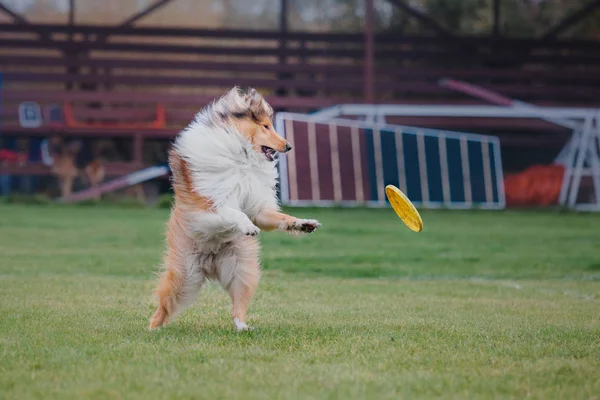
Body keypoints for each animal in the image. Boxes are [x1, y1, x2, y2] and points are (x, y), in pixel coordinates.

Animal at [148, 85, 322, 332]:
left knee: (237, 306)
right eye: (265, 126)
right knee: (164, 303)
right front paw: (248, 227)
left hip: (242, 270)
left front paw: (303, 224)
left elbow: (277, 216)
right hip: (185, 275)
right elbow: (233, 212)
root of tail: (210, 261)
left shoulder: (258, 208)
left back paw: (243, 327)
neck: (243, 157)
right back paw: (153, 328)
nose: (288, 146)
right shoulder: (206, 208)